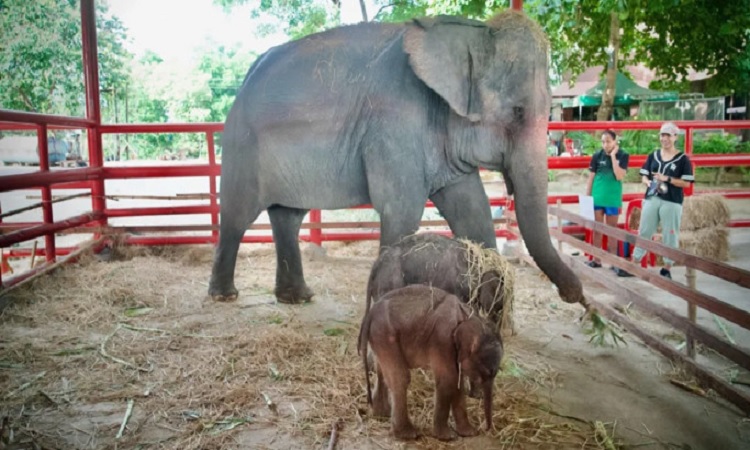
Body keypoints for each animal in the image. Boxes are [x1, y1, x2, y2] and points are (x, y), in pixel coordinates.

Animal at [210, 9, 588, 306]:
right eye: (517, 112)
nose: (577, 298)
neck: (471, 30)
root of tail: (246, 77)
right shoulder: (394, 124)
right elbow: (402, 209)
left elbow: (473, 209)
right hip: (242, 146)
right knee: (238, 216)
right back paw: (224, 295)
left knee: (287, 216)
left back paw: (297, 297)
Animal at [360, 284, 506, 440]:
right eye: (487, 372)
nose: (486, 429)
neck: (468, 316)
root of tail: (370, 314)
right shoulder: (443, 339)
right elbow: (448, 379)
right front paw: (447, 437)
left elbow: (458, 384)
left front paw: (469, 433)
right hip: (386, 334)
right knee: (400, 377)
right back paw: (408, 434)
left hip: (379, 337)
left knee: (381, 371)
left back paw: (382, 415)